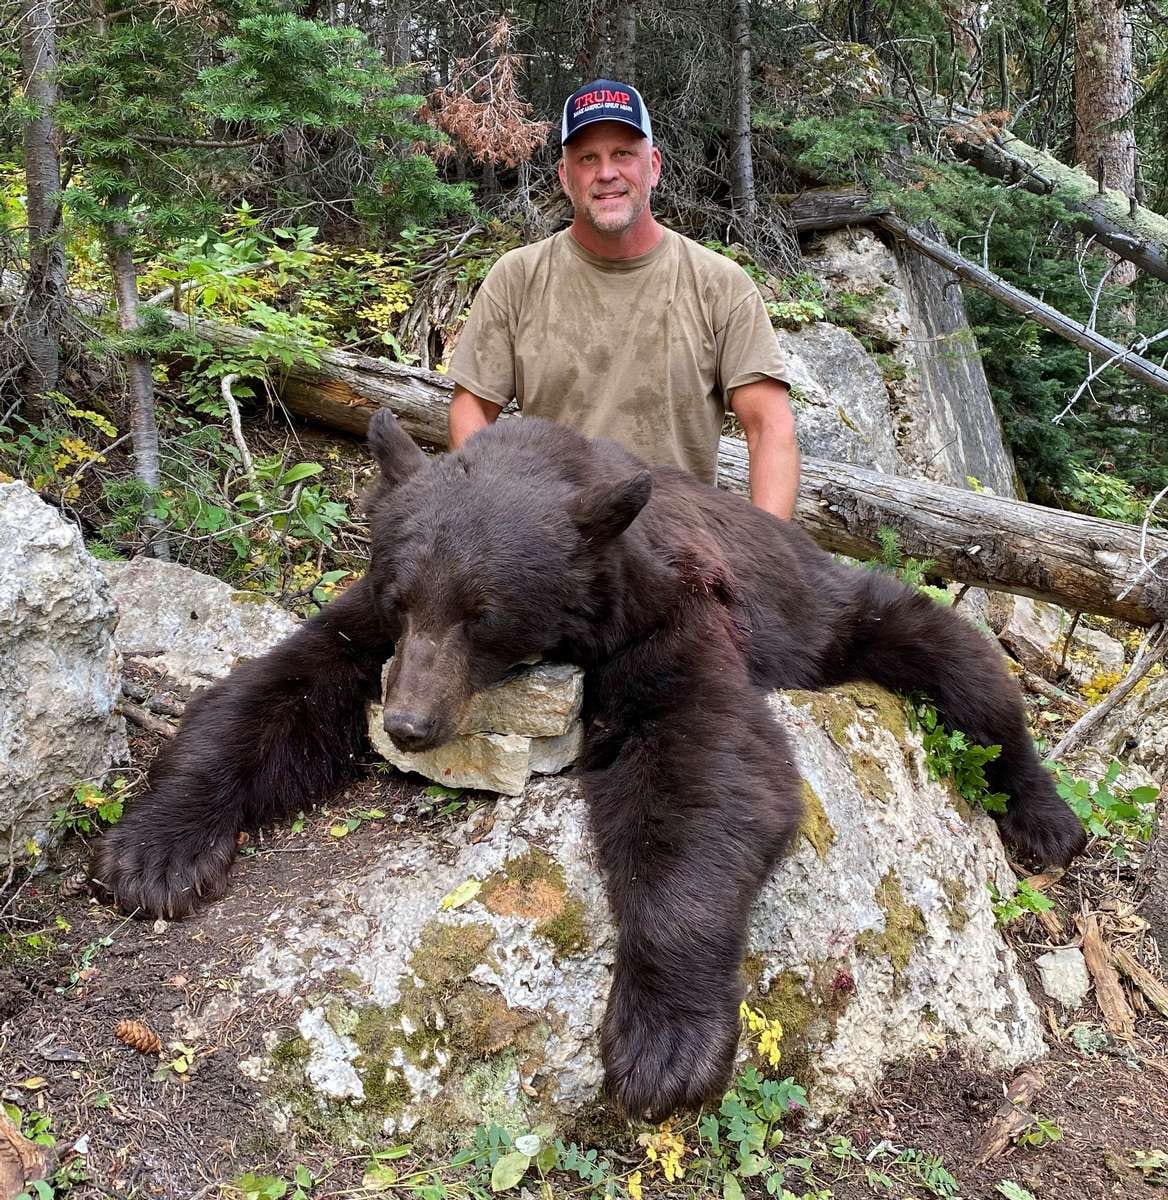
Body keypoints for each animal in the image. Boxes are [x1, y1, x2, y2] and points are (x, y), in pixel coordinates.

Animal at [92, 410, 1086, 1121]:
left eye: (484, 614)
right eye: (403, 594)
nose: (409, 724)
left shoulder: (671, 616)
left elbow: (706, 766)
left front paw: (663, 1042)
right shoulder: (369, 634)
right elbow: (273, 691)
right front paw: (157, 851)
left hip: (841, 616)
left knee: (963, 670)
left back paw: (1045, 816)